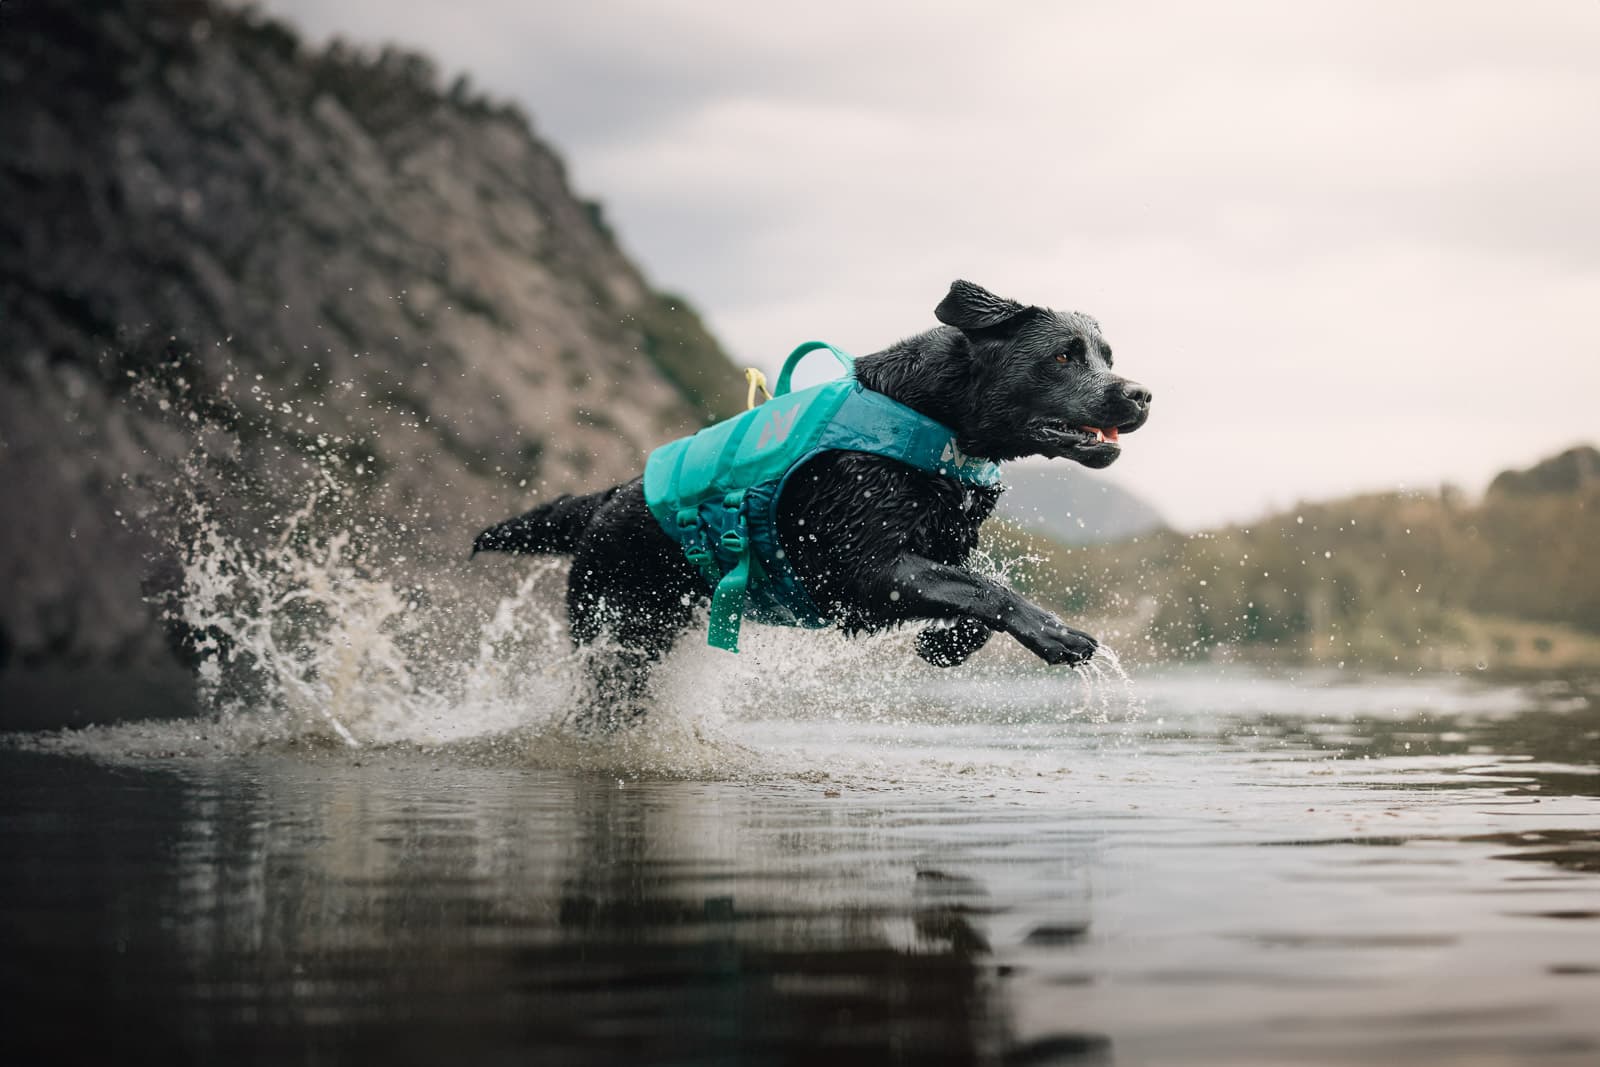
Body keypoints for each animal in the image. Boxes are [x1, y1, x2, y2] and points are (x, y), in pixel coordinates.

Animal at [473, 279, 1152, 726]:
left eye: (1107, 357)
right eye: (1062, 355)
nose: (1142, 394)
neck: (931, 421)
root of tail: (611, 496)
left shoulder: (930, 553)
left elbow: (974, 588)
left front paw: (944, 646)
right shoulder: (856, 569)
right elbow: (987, 588)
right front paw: (1055, 633)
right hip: (618, 635)